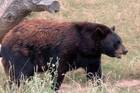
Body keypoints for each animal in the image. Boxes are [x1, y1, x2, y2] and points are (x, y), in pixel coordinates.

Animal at [0, 19, 128, 90]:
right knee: (19, 75)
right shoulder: (63, 51)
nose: (125, 50)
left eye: (120, 40)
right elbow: (58, 71)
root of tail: (5, 40)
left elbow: (95, 73)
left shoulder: (92, 57)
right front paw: (53, 87)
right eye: (116, 43)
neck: (83, 44)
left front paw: (100, 86)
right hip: (20, 55)